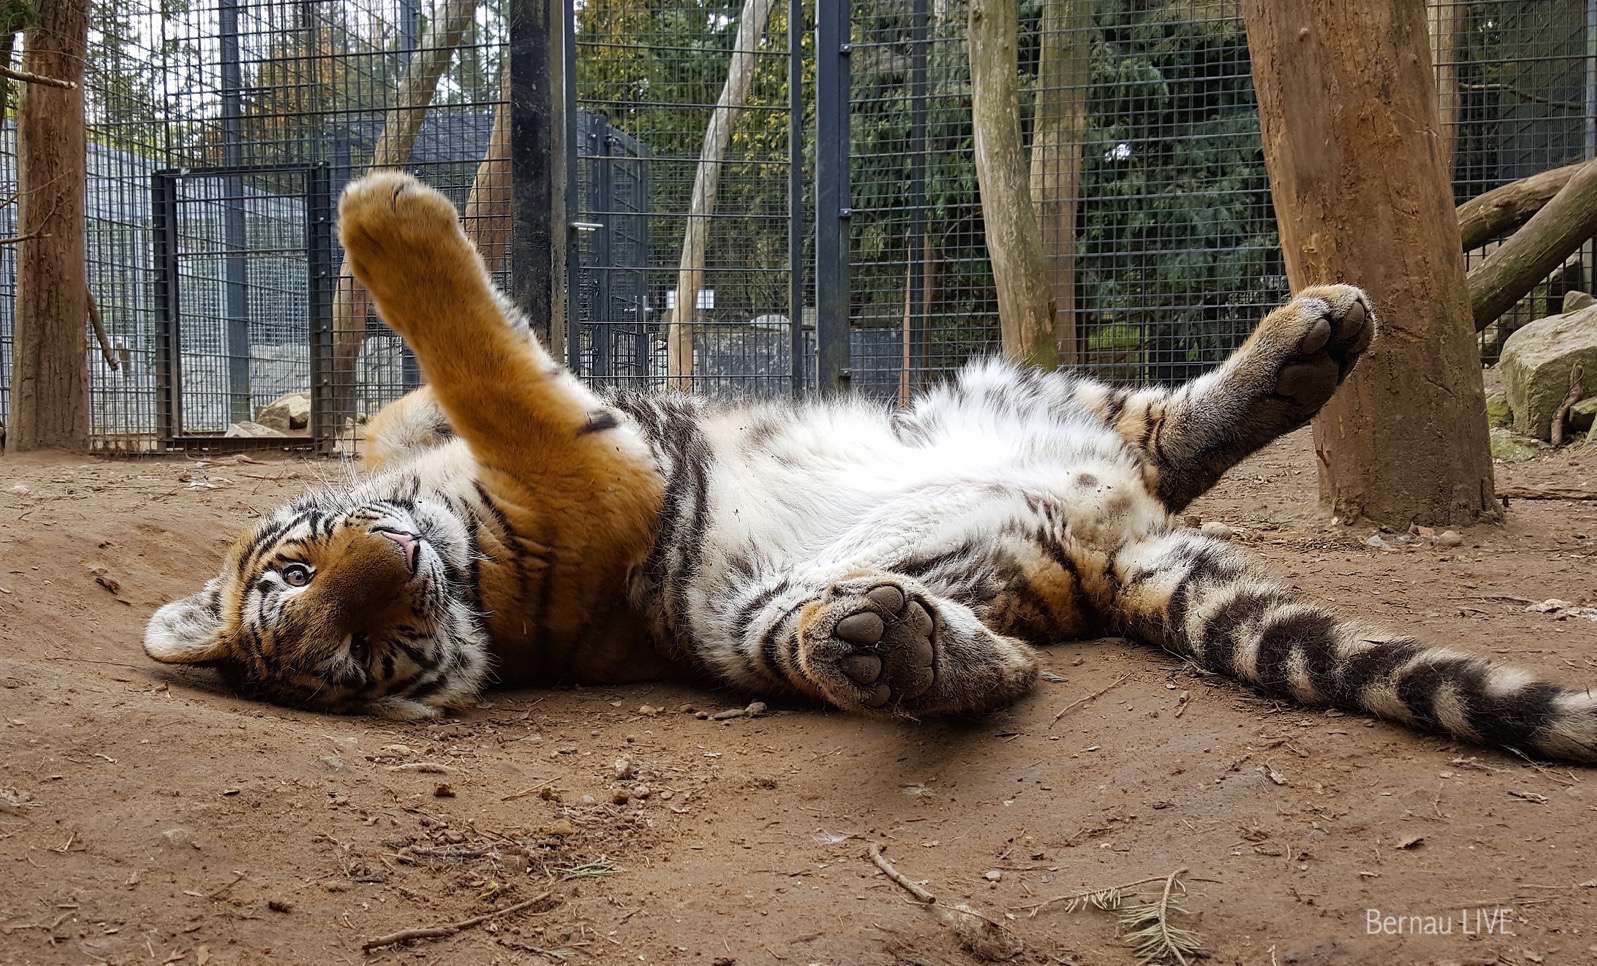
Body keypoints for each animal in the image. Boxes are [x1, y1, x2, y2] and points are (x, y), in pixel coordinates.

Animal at [144, 170, 1597, 762]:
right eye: (353, 650)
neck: (457, 548)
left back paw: (1314, 334)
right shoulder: (594, 480)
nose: (391, 561)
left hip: (1010, 390)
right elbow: (491, 366)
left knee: (1164, 428)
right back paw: (904, 649)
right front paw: (386, 210)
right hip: (774, 599)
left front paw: (380, 228)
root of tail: (1107, 547)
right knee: (987, 653)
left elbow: (425, 398)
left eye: (301, 571)